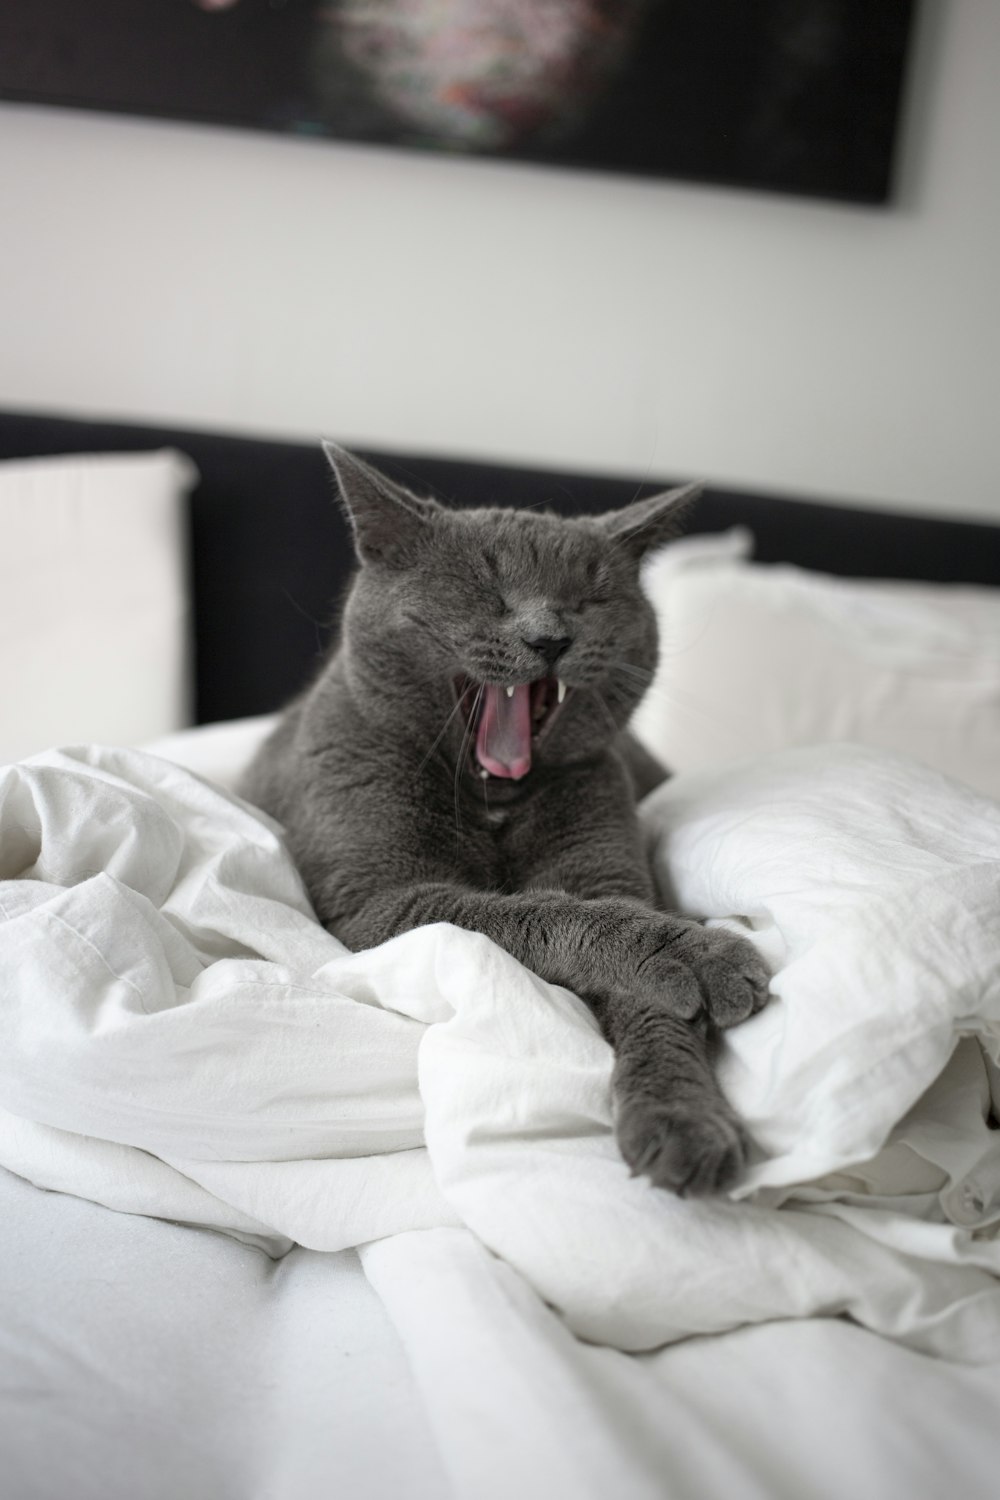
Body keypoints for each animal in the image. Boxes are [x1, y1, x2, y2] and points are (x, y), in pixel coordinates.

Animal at [238, 444, 773, 1194]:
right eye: (483, 588)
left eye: (589, 597)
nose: (550, 636)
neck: (493, 801)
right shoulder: (378, 905)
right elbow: (537, 913)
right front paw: (704, 955)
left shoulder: (609, 869)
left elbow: (652, 1005)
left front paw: (687, 1123)